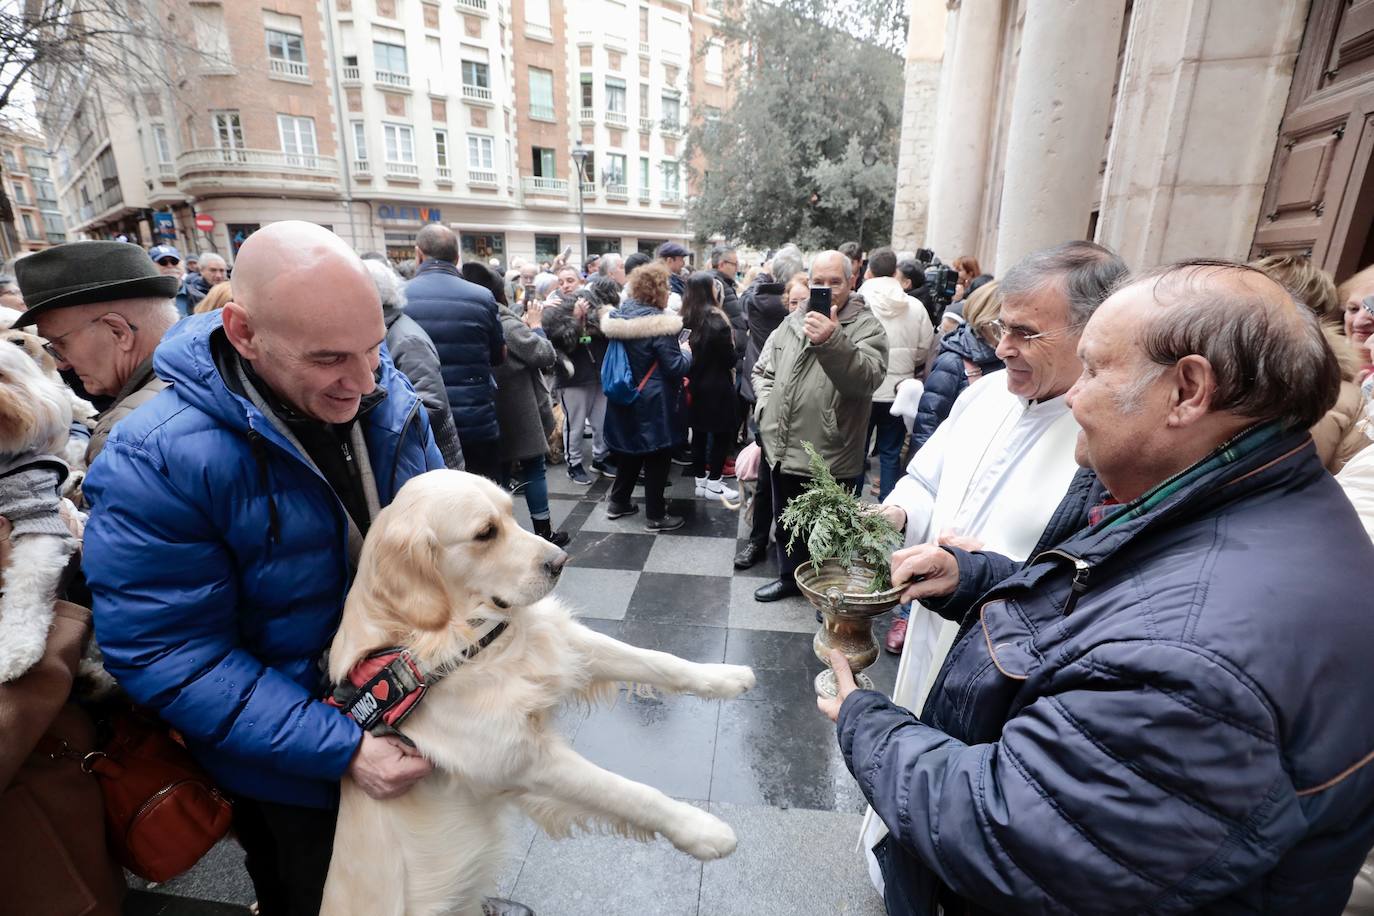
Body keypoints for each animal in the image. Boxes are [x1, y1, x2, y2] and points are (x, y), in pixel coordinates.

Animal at [317, 472, 758, 916]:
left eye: (512, 514)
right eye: (485, 533)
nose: (560, 562)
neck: (463, 642)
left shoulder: (564, 644)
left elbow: (659, 661)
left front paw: (724, 676)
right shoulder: (520, 761)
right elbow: (628, 792)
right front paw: (702, 830)